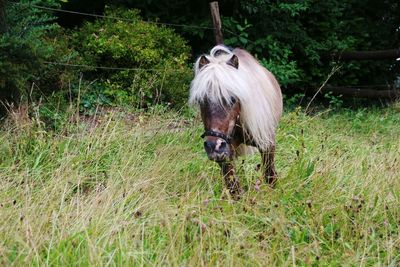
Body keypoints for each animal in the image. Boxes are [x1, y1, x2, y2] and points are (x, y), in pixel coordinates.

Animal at [189, 45, 282, 198]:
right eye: (201, 100)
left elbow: (270, 175)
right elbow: (234, 188)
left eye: (233, 98)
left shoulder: (267, 144)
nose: (213, 146)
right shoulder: (226, 155)